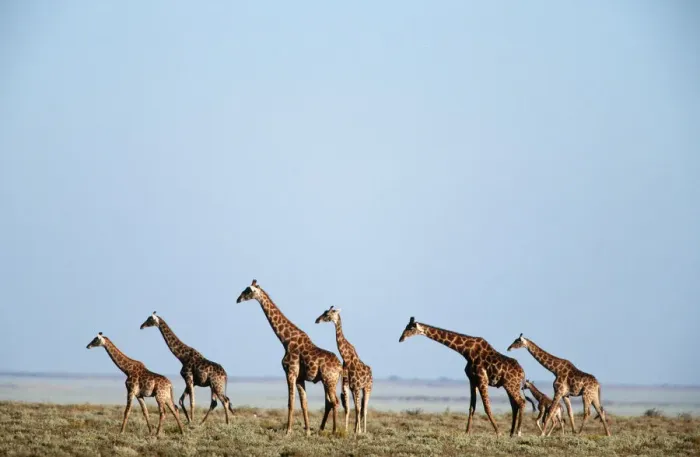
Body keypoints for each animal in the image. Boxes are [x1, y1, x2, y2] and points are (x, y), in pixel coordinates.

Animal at [235, 279, 343, 436]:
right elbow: (304, 403)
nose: (238, 299)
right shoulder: (299, 377)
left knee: (334, 402)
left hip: (329, 380)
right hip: (329, 381)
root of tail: (340, 367)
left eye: (248, 290)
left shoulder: (290, 372)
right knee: (331, 402)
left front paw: (288, 431)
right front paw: (307, 431)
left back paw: (334, 431)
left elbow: (290, 402)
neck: (285, 340)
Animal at [315, 306, 373, 434]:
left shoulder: (356, 387)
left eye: (328, 314)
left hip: (367, 387)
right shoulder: (349, 386)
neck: (347, 358)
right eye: (324, 312)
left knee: (364, 408)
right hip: (357, 389)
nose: (317, 320)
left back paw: (364, 430)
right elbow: (348, 408)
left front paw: (358, 431)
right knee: (359, 407)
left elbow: (358, 408)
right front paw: (349, 430)